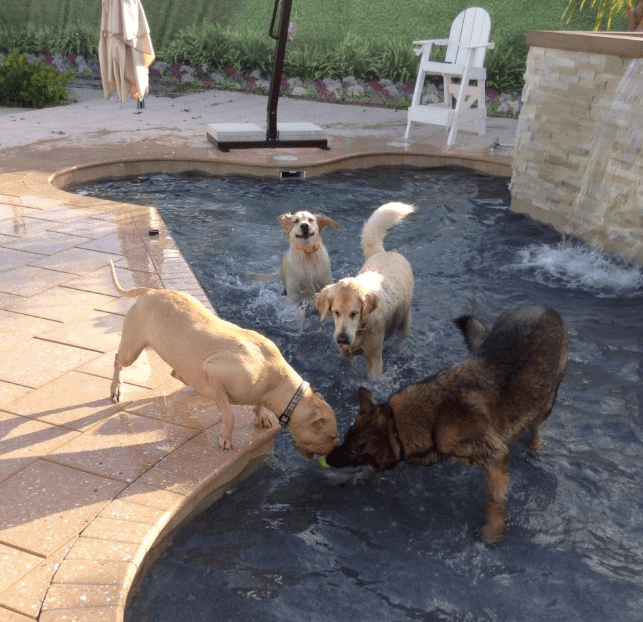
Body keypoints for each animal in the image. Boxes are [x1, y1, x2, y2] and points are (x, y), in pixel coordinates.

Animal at [108, 264, 340, 458]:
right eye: (331, 436)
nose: (335, 454)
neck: (275, 381)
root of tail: (149, 291)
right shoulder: (215, 372)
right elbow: (229, 415)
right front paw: (226, 438)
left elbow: (255, 404)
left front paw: (260, 416)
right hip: (132, 348)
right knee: (118, 359)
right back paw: (117, 388)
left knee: (177, 372)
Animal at [316, 204, 416, 380]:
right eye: (335, 312)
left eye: (355, 313)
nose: (342, 339)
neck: (361, 329)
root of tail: (383, 252)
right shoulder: (344, 354)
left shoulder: (374, 359)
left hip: (405, 319)